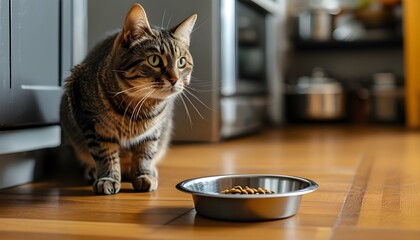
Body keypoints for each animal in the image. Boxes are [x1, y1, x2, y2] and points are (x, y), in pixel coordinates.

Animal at [60, 3, 197, 194]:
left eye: (181, 62)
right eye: (154, 60)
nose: (174, 79)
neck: (141, 105)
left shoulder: (153, 131)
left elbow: (145, 154)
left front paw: (144, 174)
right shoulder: (92, 124)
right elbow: (105, 154)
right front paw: (108, 178)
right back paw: (93, 172)